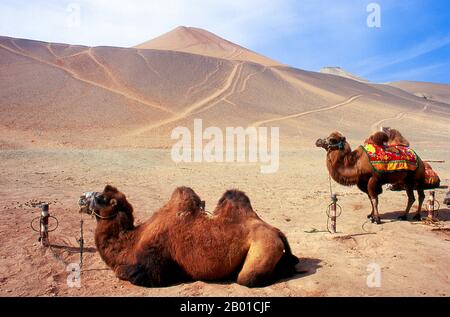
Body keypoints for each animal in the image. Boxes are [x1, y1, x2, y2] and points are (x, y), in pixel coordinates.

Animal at [82, 185, 300, 286]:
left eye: (101, 197)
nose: (81, 198)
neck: (133, 240)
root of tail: (277, 232)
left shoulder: (152, 263)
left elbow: (129, 272)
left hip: (263, 247)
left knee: (248, 277)